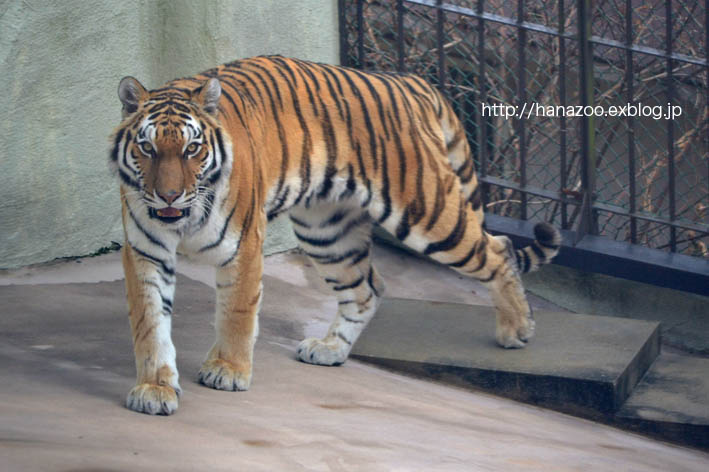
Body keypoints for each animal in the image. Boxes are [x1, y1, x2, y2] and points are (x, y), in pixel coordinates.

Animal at [109, 55, 560, 414]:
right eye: (148, 148)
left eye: (192, 149)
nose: (169, 194)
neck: (180, 220)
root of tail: (411, 83)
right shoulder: (145, 251)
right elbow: (150, 323)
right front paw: (154, 388)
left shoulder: (244, 246)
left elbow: (236, 314)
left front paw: (228, 371)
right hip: (326, 231)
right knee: (366, 289)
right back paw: (330, 350)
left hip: (427, 212)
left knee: (498, 249)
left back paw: (517, 330)